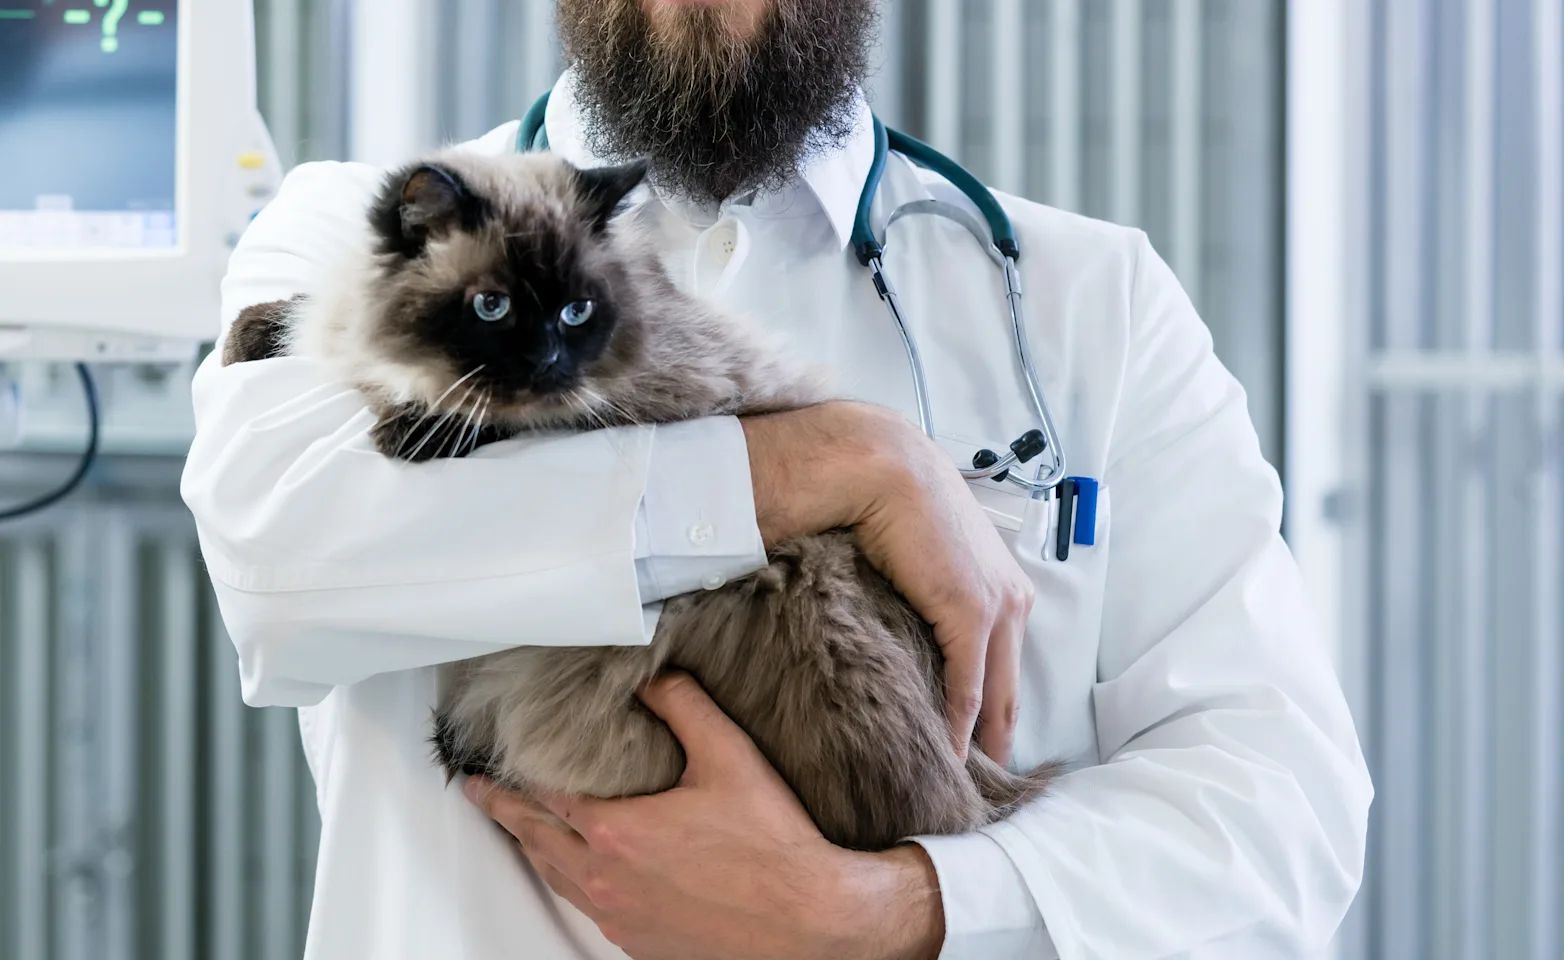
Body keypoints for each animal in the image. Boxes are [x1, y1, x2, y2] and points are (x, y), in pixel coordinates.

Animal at [223, 148, 1063, 850]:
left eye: (576, 313)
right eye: (493, 308)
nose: (547, 363)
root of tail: (979, 786)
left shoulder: (637, 399)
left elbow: (489, 416)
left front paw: (414, 430)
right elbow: (295, 321)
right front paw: (249, 339)